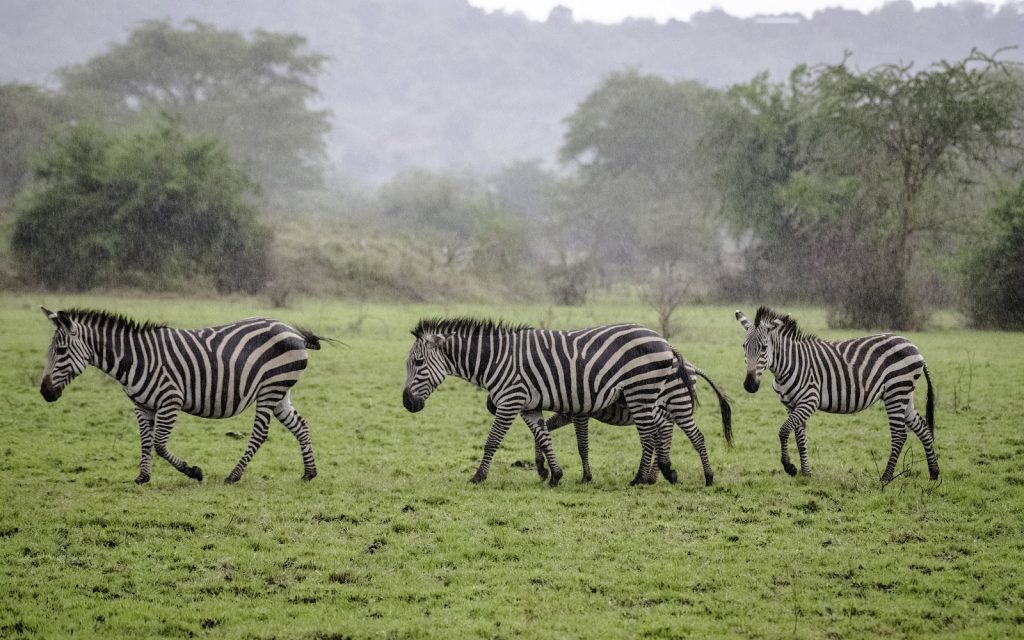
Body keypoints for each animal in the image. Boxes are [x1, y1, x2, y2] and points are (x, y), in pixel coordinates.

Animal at [39, 307, 325, 484]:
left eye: (61, 351)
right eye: (50, 351)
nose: (45, 392)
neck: (135, 359)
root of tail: (292, 331)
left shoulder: (170, 401)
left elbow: (159, 444)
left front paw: (194, 472)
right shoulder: (142, 406)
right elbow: (145, 442)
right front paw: (143, 477)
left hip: (270, 388)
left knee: (260, 433)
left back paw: (234, 475)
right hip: (280, 391)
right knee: (301, 425)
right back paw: (309, 473)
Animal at [402, 317, 686, 486]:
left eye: (418, 362)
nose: (407, 403)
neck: (494, 360)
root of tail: (664, 340)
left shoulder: (510, 401)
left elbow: (492, 441)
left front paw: (478, 476)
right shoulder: (528, 407)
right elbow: (544, 438)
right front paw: (555, 476)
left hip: (641, 391)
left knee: (649, 435)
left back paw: (640, 479)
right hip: (644, 394)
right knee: (656, 430)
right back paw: (659, 473)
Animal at [538, 361, 732, 486]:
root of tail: (692, 367)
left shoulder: (580, 414)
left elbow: (582, 445)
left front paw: (585, 477)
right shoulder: (567, 414)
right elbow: (545, 429)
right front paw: (542, 467)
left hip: (673, 404)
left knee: (680, 434)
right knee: (664, 435)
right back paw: (655, 475)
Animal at [736, 306, 938, 484]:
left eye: (764, 348)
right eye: (744, 347)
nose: (750, 385)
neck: (788, 365)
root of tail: (914, 347)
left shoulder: (809, 401)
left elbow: (784, 430)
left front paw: (790, 467)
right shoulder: (791, 405)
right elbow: (800, 438)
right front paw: (806, 473)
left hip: (895, 392)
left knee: (899, 435)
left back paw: (886, 478)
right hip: (904, 394)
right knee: (922, 428)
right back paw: (934, 473)